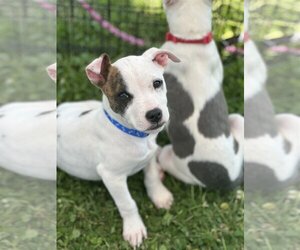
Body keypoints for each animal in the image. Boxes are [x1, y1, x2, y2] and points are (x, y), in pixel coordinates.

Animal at [56, 47, 179, 247]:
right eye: (123, 95)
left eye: (157, 83)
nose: (154, 114)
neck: (135, 135)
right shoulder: (112, 176)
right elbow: (127, 203)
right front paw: (134, 228)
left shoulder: (149, 155)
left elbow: (151, 175)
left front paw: (159, 195)